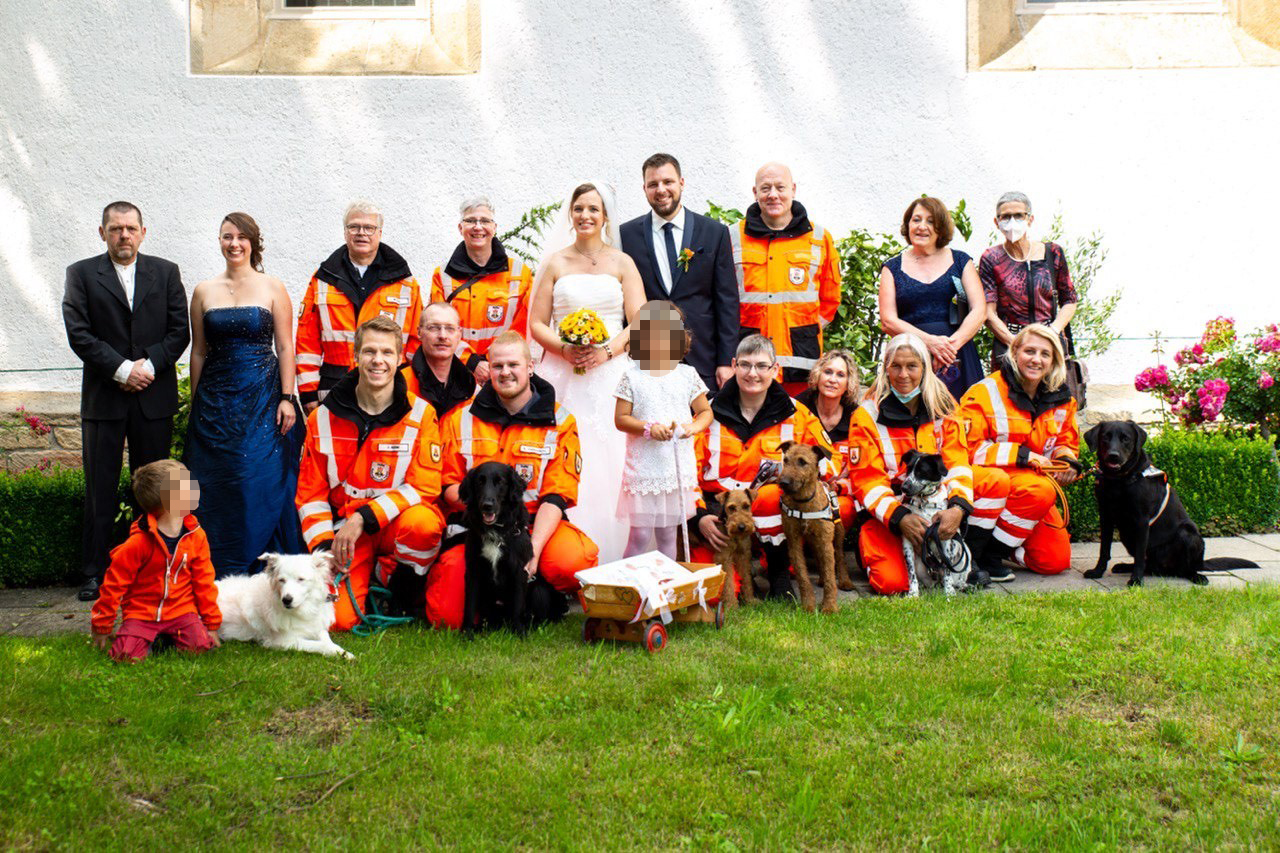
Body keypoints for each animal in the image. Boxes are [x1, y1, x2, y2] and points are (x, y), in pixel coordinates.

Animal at [216, 550, 353, 655]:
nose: (286, 600)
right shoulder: (286, 641)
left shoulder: (316, 627)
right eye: (281, 580)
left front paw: (342, 652)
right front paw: (339, 653)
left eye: (301, 579)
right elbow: (320, 645)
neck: (302, 610)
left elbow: (326, 640)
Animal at [455, 458, 565, 630]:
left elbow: (517, 606)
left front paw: (519, 632)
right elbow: (470, 605)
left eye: (500, 482)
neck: (497, 530)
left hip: (538, 591)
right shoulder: (474, 570)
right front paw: (467, 632)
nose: (487, 505)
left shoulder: (520, 571)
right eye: (479, 482)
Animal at [1080, 417, 1259, 584]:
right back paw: (1124, 566)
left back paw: (1197, 576)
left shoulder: (1141, 520)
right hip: (1127, 535)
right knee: (1149, 565)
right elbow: (1104, 549)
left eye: (1126, 438)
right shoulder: (1106, 517)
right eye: (1105, 437)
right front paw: (1097, 571)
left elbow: (1139, 554)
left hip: (1188, 534)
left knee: (1183, 568)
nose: (1113, 456)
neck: (1119, 480)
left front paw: (1136, 580)